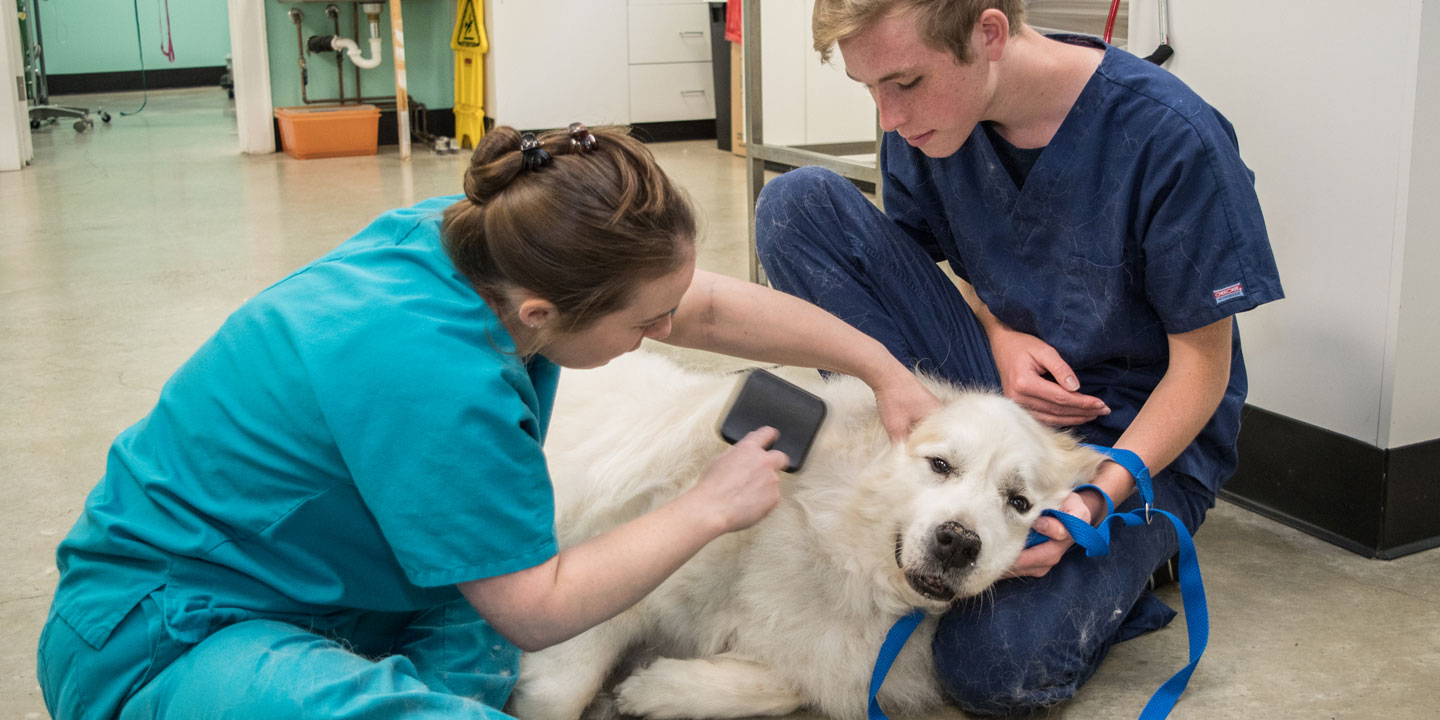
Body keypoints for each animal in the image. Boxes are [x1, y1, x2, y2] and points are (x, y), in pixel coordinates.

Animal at [512, 352, 1094, 720]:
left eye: (1019, 503)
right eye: (940, 465)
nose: (959, 542)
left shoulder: (827, 655)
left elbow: (786, 685)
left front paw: (653, 689)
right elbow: (560, 694)